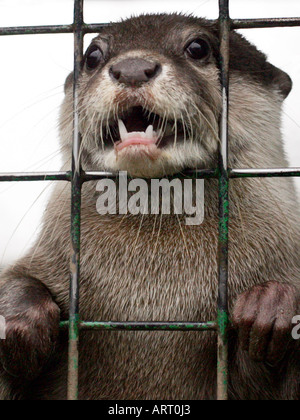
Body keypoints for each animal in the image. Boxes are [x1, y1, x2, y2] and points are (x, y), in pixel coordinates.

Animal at [0, 13, 300, 400]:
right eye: (93, 55)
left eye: (198, 47)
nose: (131, 68)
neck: (152, 297)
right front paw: (19, 313)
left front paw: (273, 308)